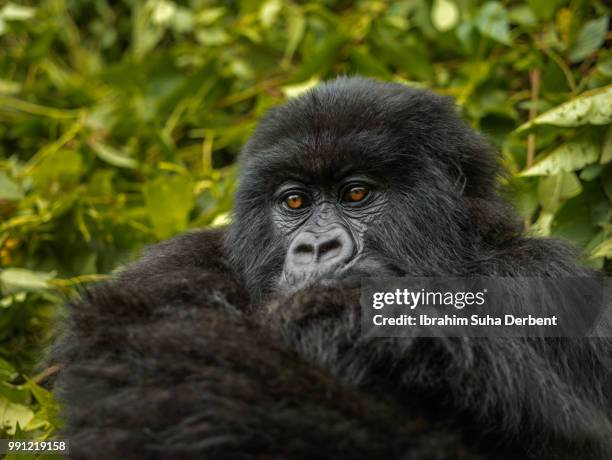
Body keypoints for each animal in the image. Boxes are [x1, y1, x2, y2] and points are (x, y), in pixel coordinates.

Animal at [52, 78, 612, 460]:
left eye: (357, 193)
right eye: (295, 201)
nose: (317, 247)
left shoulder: (543, 277)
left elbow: (580, 430)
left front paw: (348, 317)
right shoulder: (169, 269)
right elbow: (139, 354)